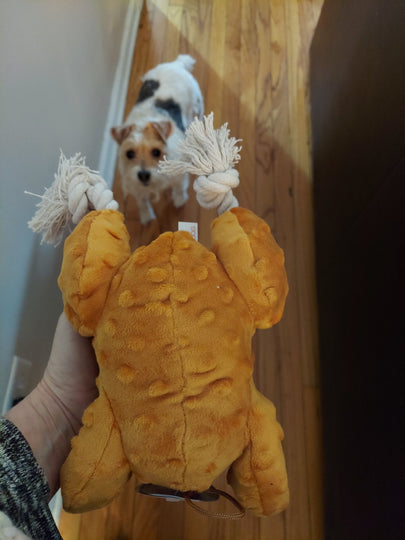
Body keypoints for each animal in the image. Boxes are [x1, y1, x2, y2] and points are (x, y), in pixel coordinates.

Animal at [110, 54, 204, 224]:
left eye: (156, 152)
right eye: (129, 154)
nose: (143, 175)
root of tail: (177, 64)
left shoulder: (178, 173)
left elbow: (179, 188)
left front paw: (179, 200)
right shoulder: (134, 185)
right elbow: (142, 201)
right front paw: (146, 216)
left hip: (197, 105)